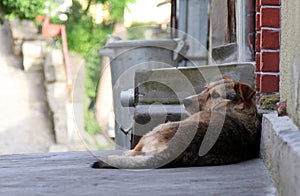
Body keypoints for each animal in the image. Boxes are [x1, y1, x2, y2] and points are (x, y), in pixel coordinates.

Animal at [92, 76, 262, 168]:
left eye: (214, 95)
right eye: (205, 88)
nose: (185, 101)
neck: (237, 110)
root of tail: (175, 149)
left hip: (157, 129)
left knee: (133, 153)